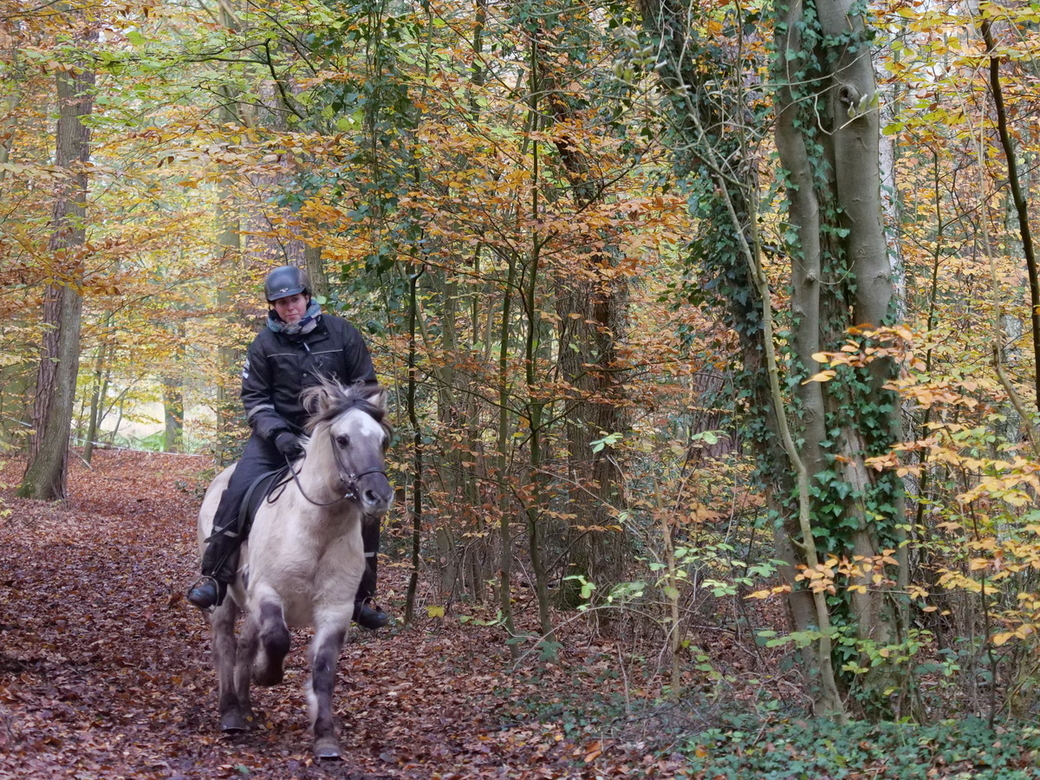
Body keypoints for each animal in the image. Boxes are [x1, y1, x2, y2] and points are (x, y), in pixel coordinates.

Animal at [196, 382, 391, 761]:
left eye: (382, 440)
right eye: (342, 439)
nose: (378, 496)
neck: (317, 531)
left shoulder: (336, 609)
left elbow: (324, 667)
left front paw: (326, 738)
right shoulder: (268, 592)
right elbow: (277, 639)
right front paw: (265, 674)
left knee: (245, 643)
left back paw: (246, 708)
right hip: (225, 599)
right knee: (226, 644)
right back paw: (231, 712)